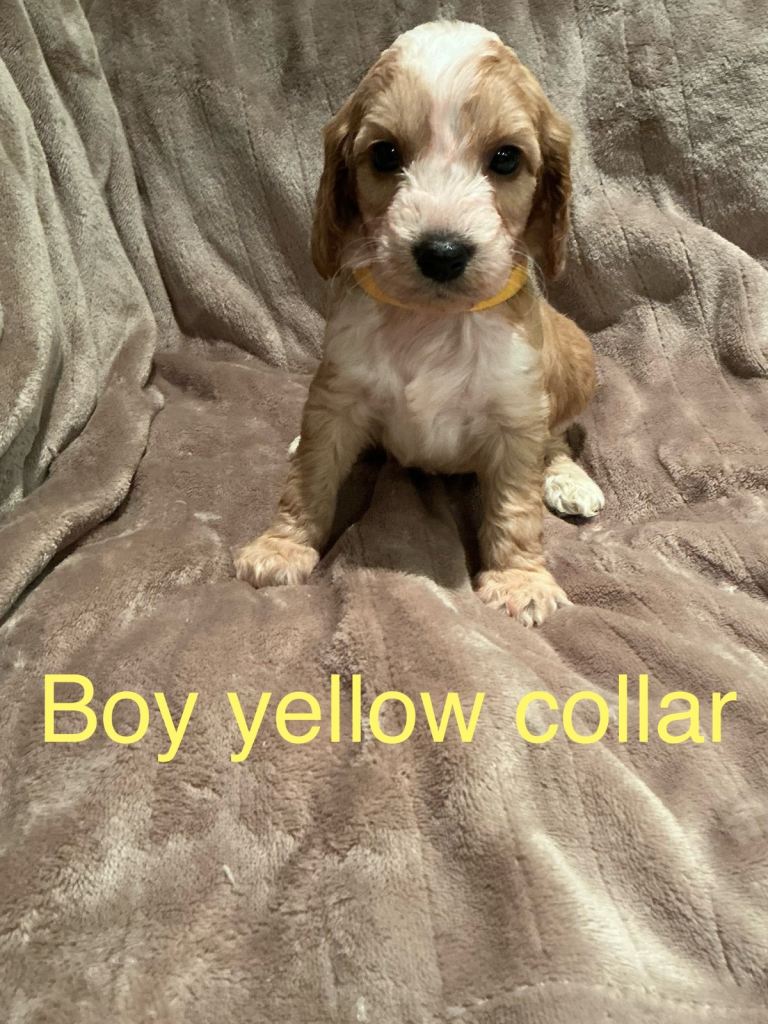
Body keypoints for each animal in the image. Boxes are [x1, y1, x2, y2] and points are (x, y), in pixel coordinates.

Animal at [235, 20, 604, 626]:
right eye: (385, 154)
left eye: (506, 159)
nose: (442, 252)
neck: (434, 322)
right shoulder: (336, 395)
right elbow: (310, 475)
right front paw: (282, 545)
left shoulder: (516, 415)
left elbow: (515, 504)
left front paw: (520, 579)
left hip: (577, 354)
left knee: (555, 438)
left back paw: (569, 479)